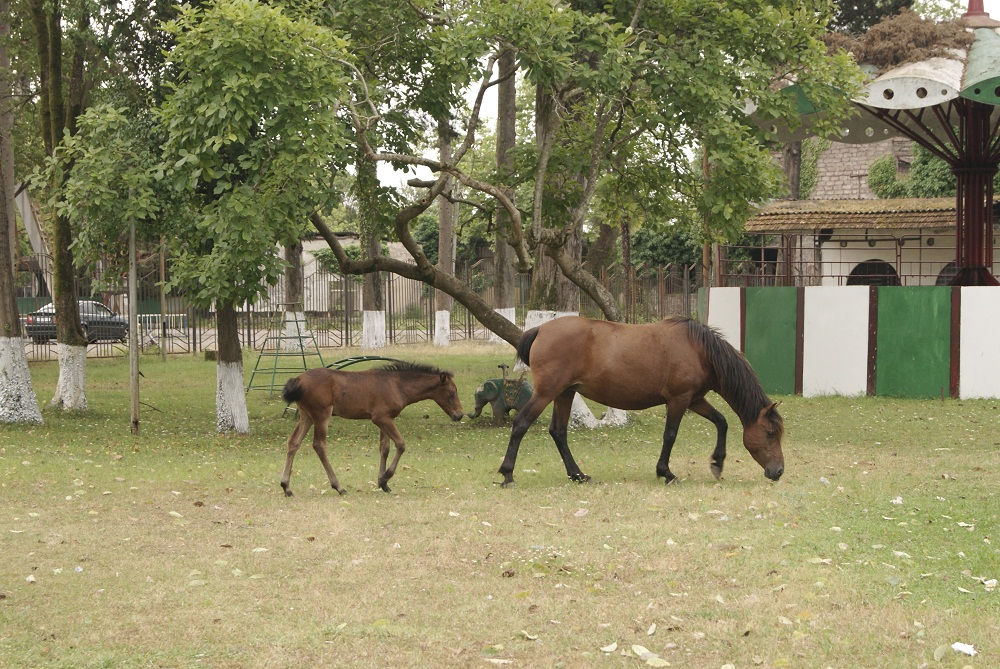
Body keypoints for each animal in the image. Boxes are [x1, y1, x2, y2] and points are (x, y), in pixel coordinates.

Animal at [278, 360, 464, 496]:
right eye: (451, 393)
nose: (459, 415)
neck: (398, 385)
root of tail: (298, 380)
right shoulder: (380, 418)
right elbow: (401, 444)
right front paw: (385, 478)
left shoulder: (386, 419)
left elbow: (385, 448)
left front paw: (383, 483)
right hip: (321, 414)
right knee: (319, 445)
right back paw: (339, 487)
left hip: (306, 416)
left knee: (293, 442)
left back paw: (286, 487)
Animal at [496, 316, 784, 488]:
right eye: (770, 433)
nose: (778, 471)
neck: (699, 349)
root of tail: (541, 329)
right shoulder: (678, 400)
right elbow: (670, 435)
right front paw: (666, 473)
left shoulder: (694, 399)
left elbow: (721, 422)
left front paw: (717, 463)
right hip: (547, 393)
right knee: (521, 424)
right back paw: (508, 474)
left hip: (565, 394)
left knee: (559, 432)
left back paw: (577, 475)